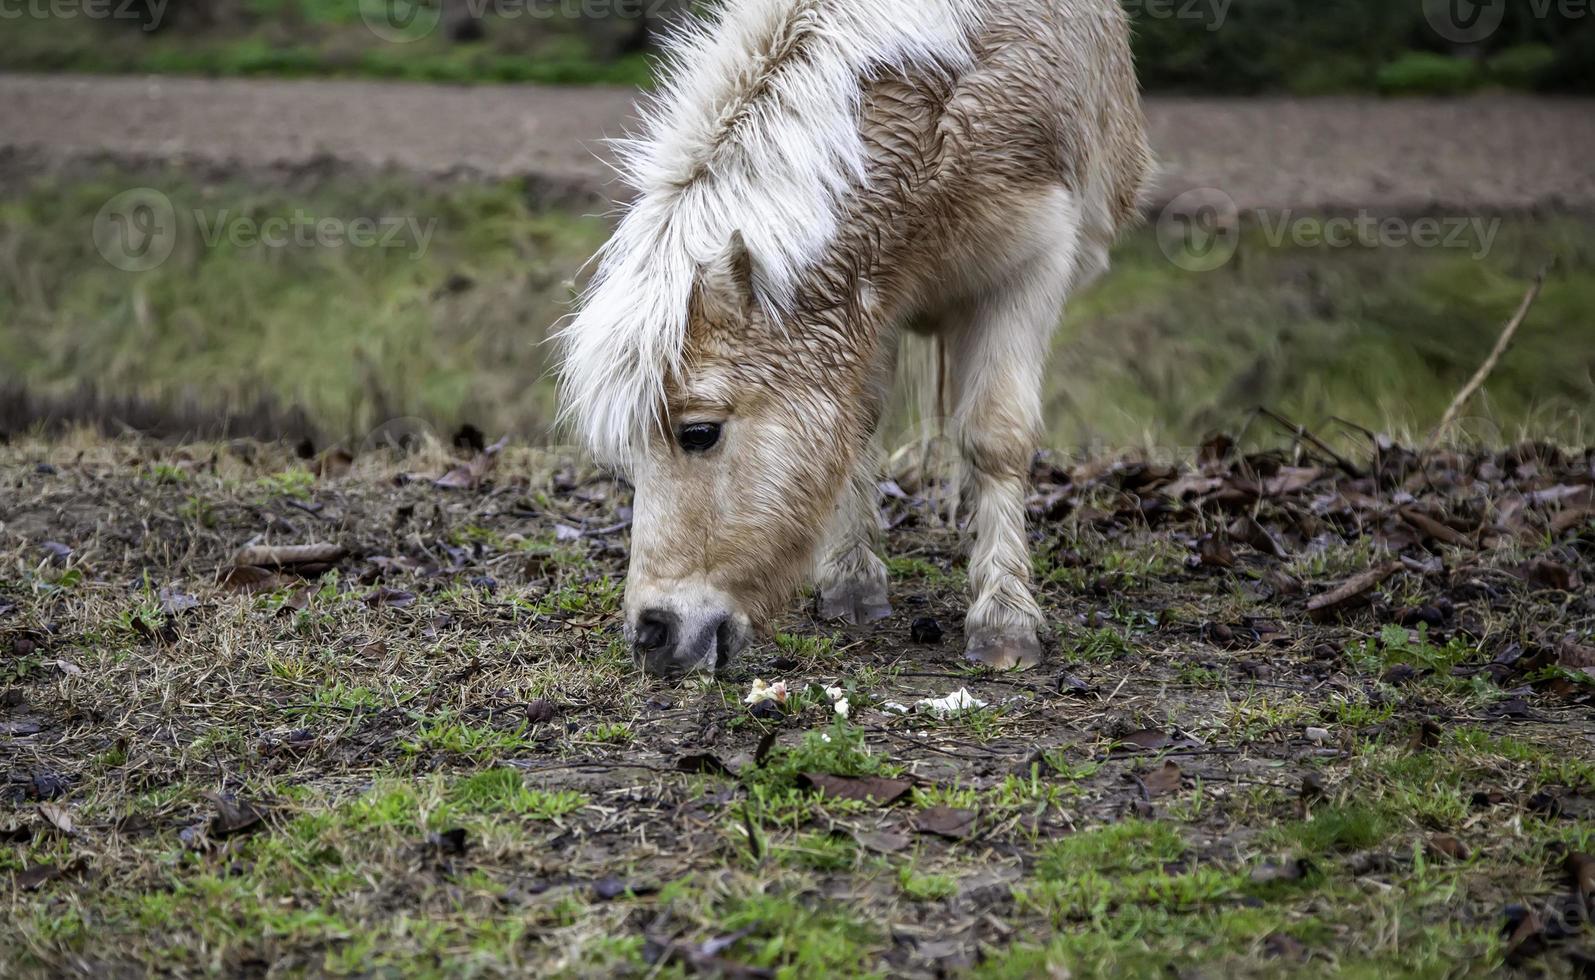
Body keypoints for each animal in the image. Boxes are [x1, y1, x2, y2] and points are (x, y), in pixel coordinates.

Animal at [558, 0, 1148, 676]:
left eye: (699, 433)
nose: (652, 635)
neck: (942, 106)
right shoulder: (871, 296)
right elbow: (857, 424)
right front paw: (853, 583)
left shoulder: (1030, 272)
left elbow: (996, 437)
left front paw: (1005, 619)